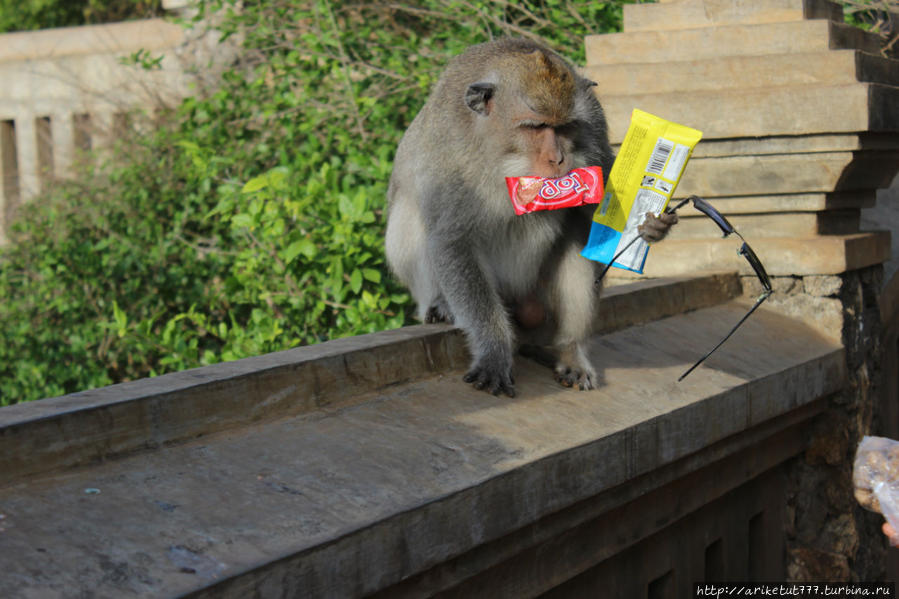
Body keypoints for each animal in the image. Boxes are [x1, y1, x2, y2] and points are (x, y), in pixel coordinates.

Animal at [384, 35, 676, 396]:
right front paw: (494, 350)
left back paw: (570, 351)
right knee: (409, 214)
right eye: (535, 126)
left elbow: (600, 213)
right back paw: (440, 304)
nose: (558, 158)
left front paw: (651, 225)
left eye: (565, 127)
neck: (504, 157)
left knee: (578, 235)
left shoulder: (594, 129)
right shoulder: (447, 156)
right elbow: (452, 240)